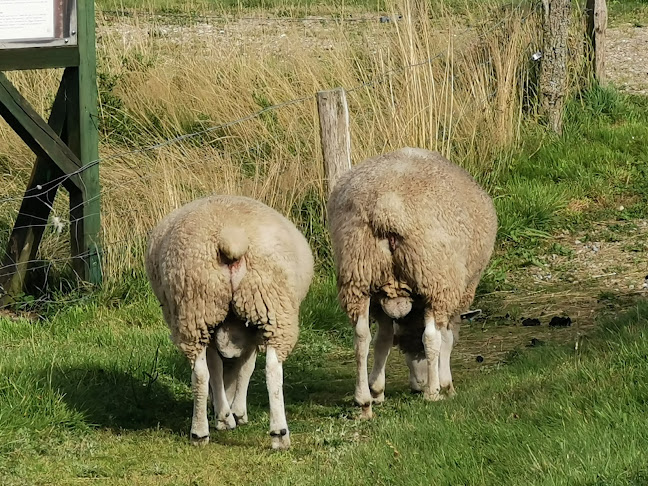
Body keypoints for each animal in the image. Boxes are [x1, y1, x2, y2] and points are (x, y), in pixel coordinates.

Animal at [146, 192, 312, 450]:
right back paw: (276, 433)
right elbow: (243, 368)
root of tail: (231, 238)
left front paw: (226, 413)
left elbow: (224, 368)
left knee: (201, 372)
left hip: (200, 308)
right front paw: (234, 412)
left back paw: (204, 431)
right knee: (271, 369)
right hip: (266, 307)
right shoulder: (243, 333)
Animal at [326, 148, 498, 418]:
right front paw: (445, 385)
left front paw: (377, 390)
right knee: (432, 337)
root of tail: (387, 206)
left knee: (361, 337)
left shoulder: (382, 302)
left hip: (358, 273)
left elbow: (383, 339)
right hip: (433, 276)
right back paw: (433, 394)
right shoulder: (453, 294)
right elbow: (445, 338)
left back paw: (364, 400)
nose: (418, 386)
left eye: (405, 348)